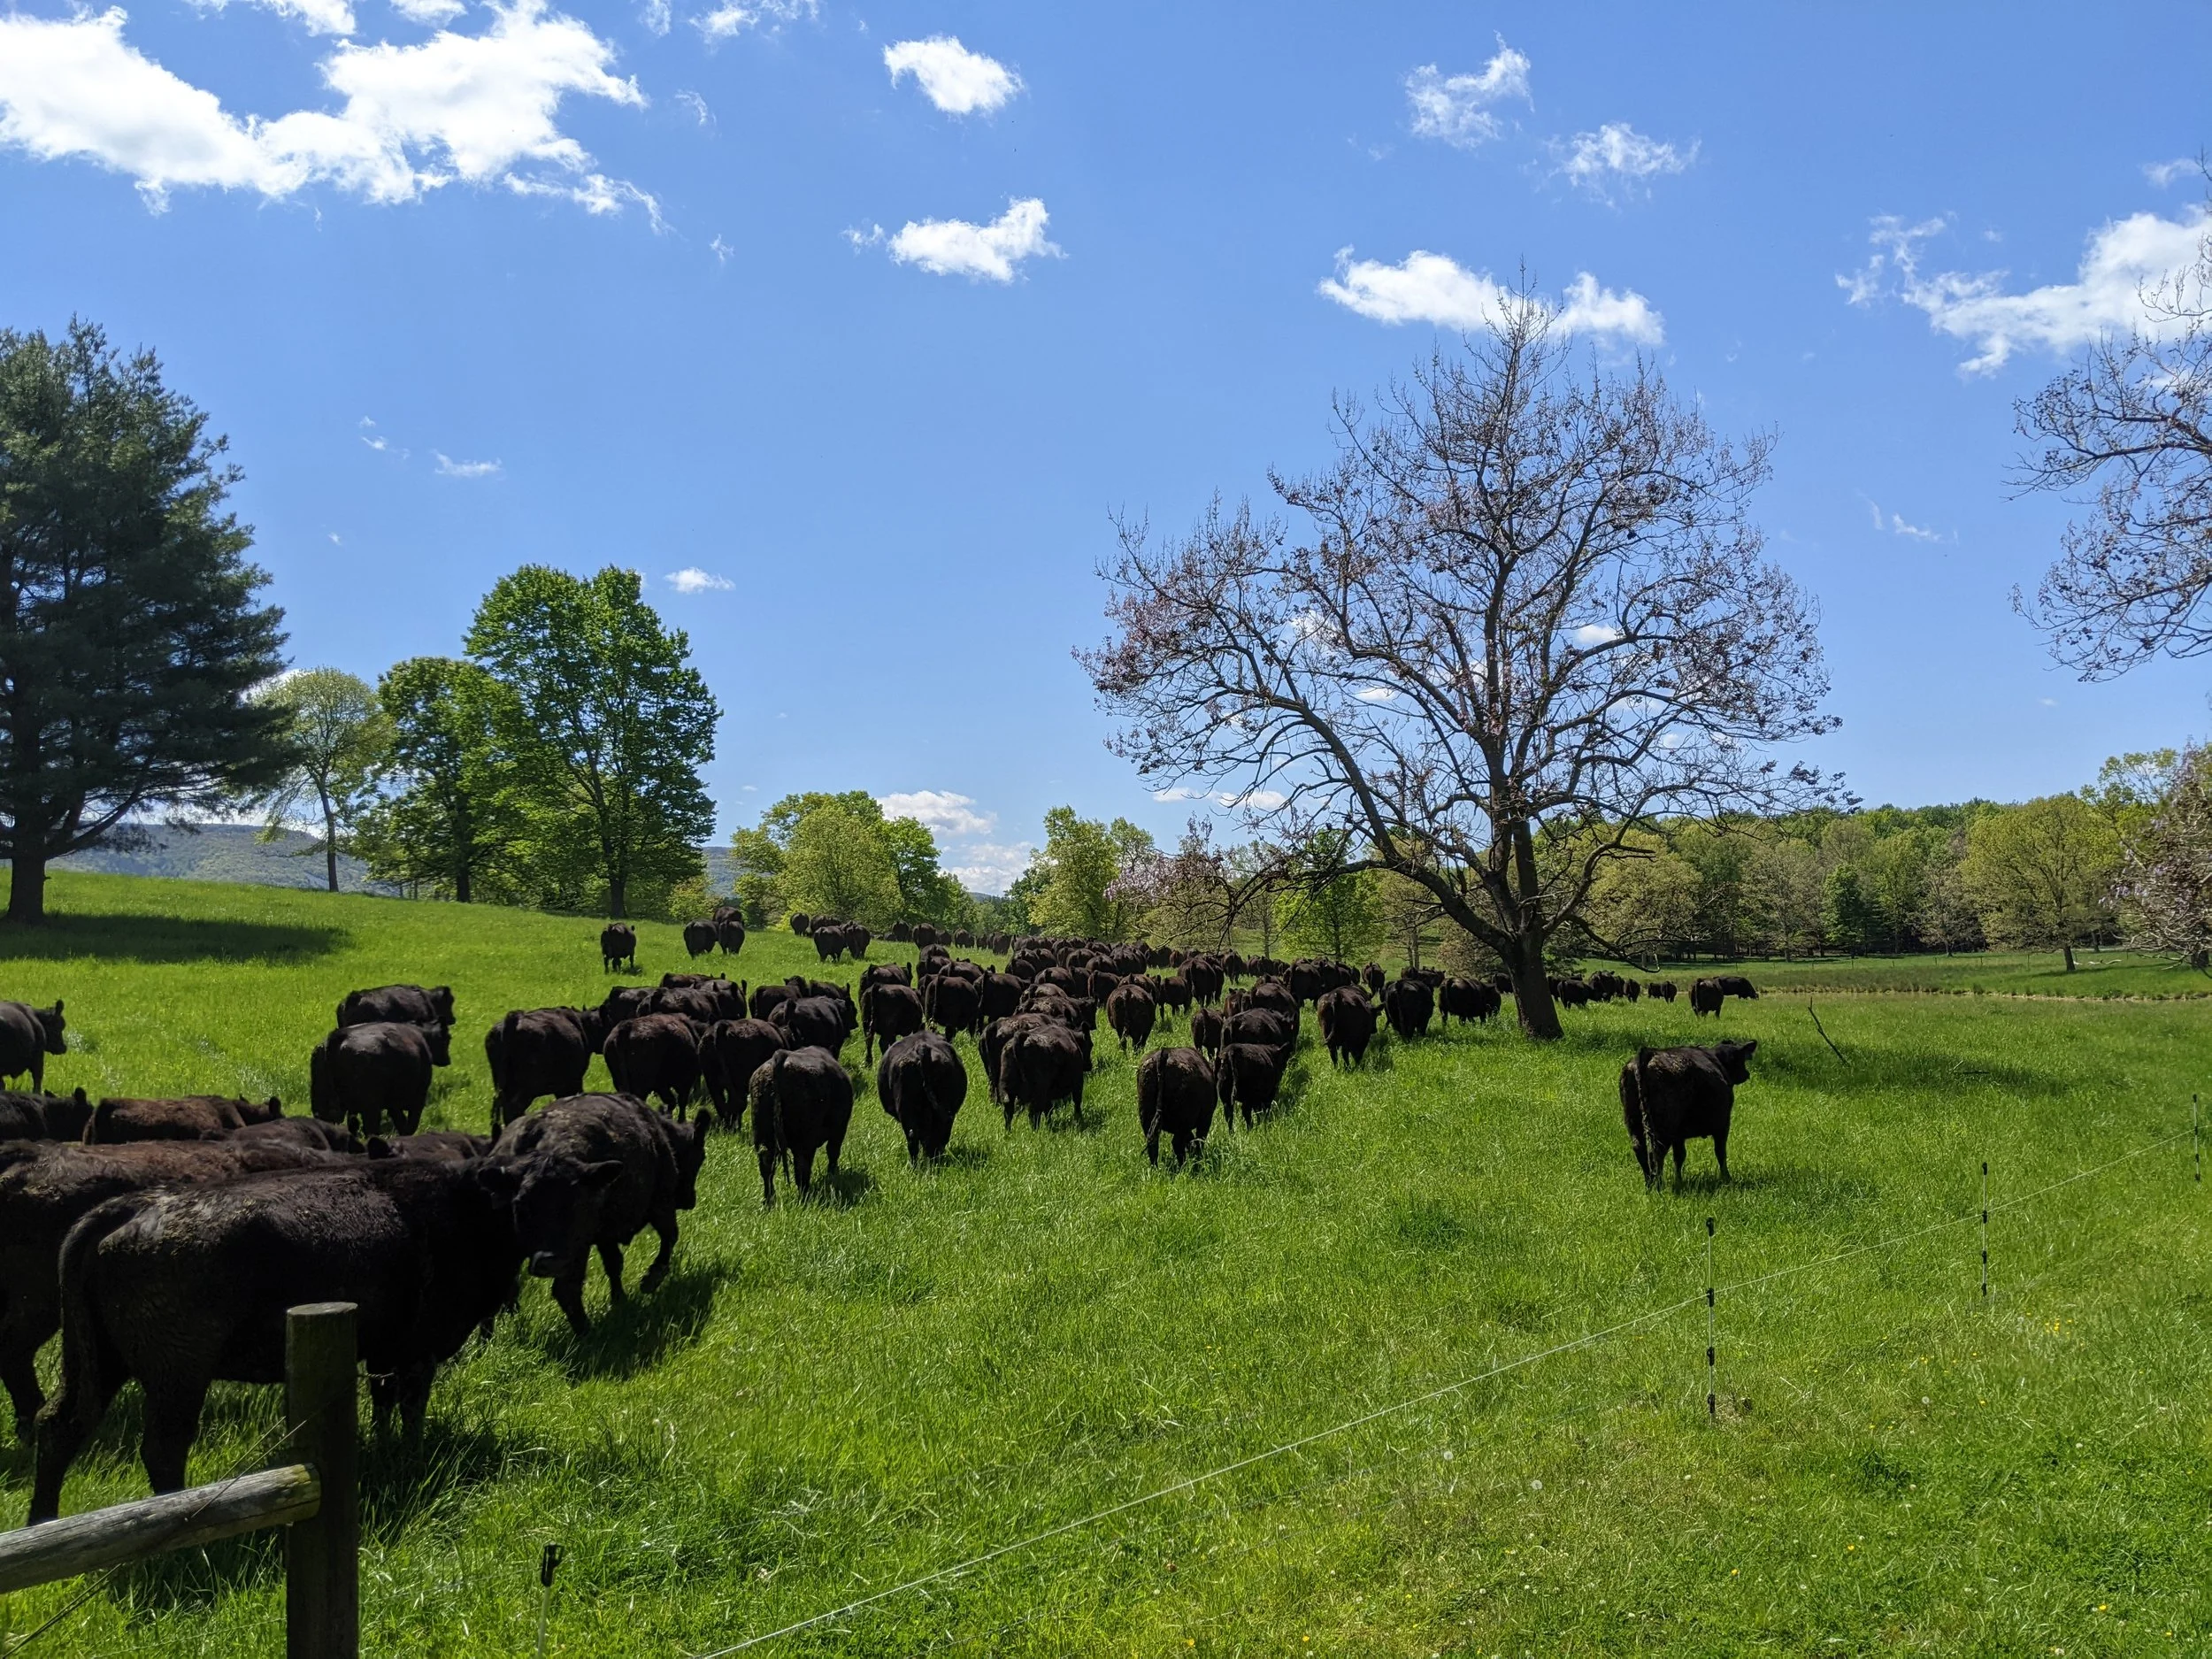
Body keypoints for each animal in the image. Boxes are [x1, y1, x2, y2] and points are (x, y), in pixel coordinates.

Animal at [495, 1093, 710, 1333]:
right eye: (699, 1157)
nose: (690, 1200)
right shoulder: (661, 1205)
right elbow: (670, 1237)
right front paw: (650, 1280)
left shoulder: (605, 1234)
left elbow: (614, 1263)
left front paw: (619, 1299)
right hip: (573, 1248)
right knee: (566, 1289)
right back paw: (586, 1332)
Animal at [748, 1048, 853, 1204]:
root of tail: (781, 1056)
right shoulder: (839, 1130)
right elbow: (833, 1152)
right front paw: (832, 1174)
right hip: (805, 1141)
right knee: (802, 1167)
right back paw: (805, 1197)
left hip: (764, 1137)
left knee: (767, 1166)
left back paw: (769, 1200)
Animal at [1136, 1047, 1215, 1168]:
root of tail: (1164, 1054)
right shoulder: (1205, 1119)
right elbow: (1199, 1140)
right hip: (1184, 1122)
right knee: (1178, 1144)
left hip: (1146, 1117)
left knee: (1152, 1142)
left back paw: (1155, 1168)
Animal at [1620, 1041, 1758, 1190]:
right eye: (1741, 1059)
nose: (1747, 1074)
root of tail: (1648, 1053)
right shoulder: (1723, 1124)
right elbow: (1720, 1152)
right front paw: (1727, 1178)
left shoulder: (1678, 1135)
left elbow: (1679, 1156)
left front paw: (1679, 1181)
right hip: (1663, 1127)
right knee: (1656, 1152)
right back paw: (1658, 1185)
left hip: (1633, 1120)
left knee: (1640, 1149)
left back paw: (1649, 1184)